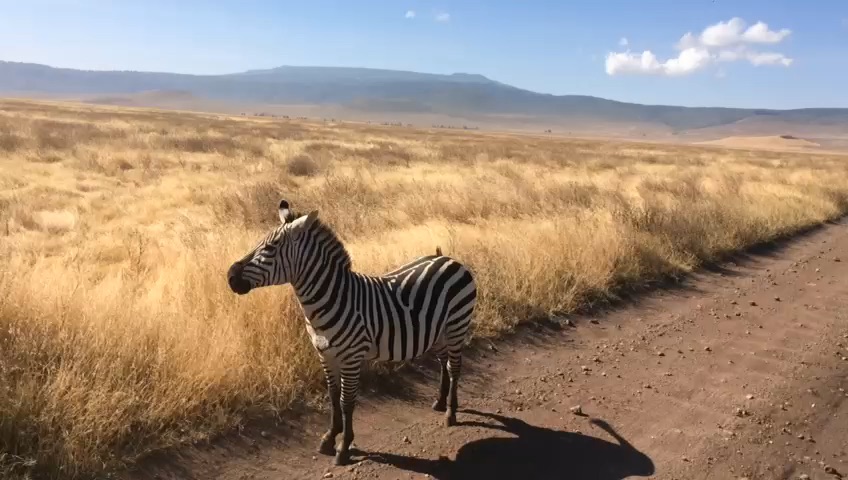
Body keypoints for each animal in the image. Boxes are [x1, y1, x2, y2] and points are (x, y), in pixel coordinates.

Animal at [225, 199, 476, 464]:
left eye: (271, 247)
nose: (230, 276)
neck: (331, 300)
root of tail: (447, 258)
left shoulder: (351, 358)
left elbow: (346, 402)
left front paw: (343, 446)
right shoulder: (325, 355)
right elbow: (333, 397)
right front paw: (329, 437)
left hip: (457, 324)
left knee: (454, 367)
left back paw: (451, 413)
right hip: (437, 332)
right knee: (443, 363)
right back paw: (440, 402)